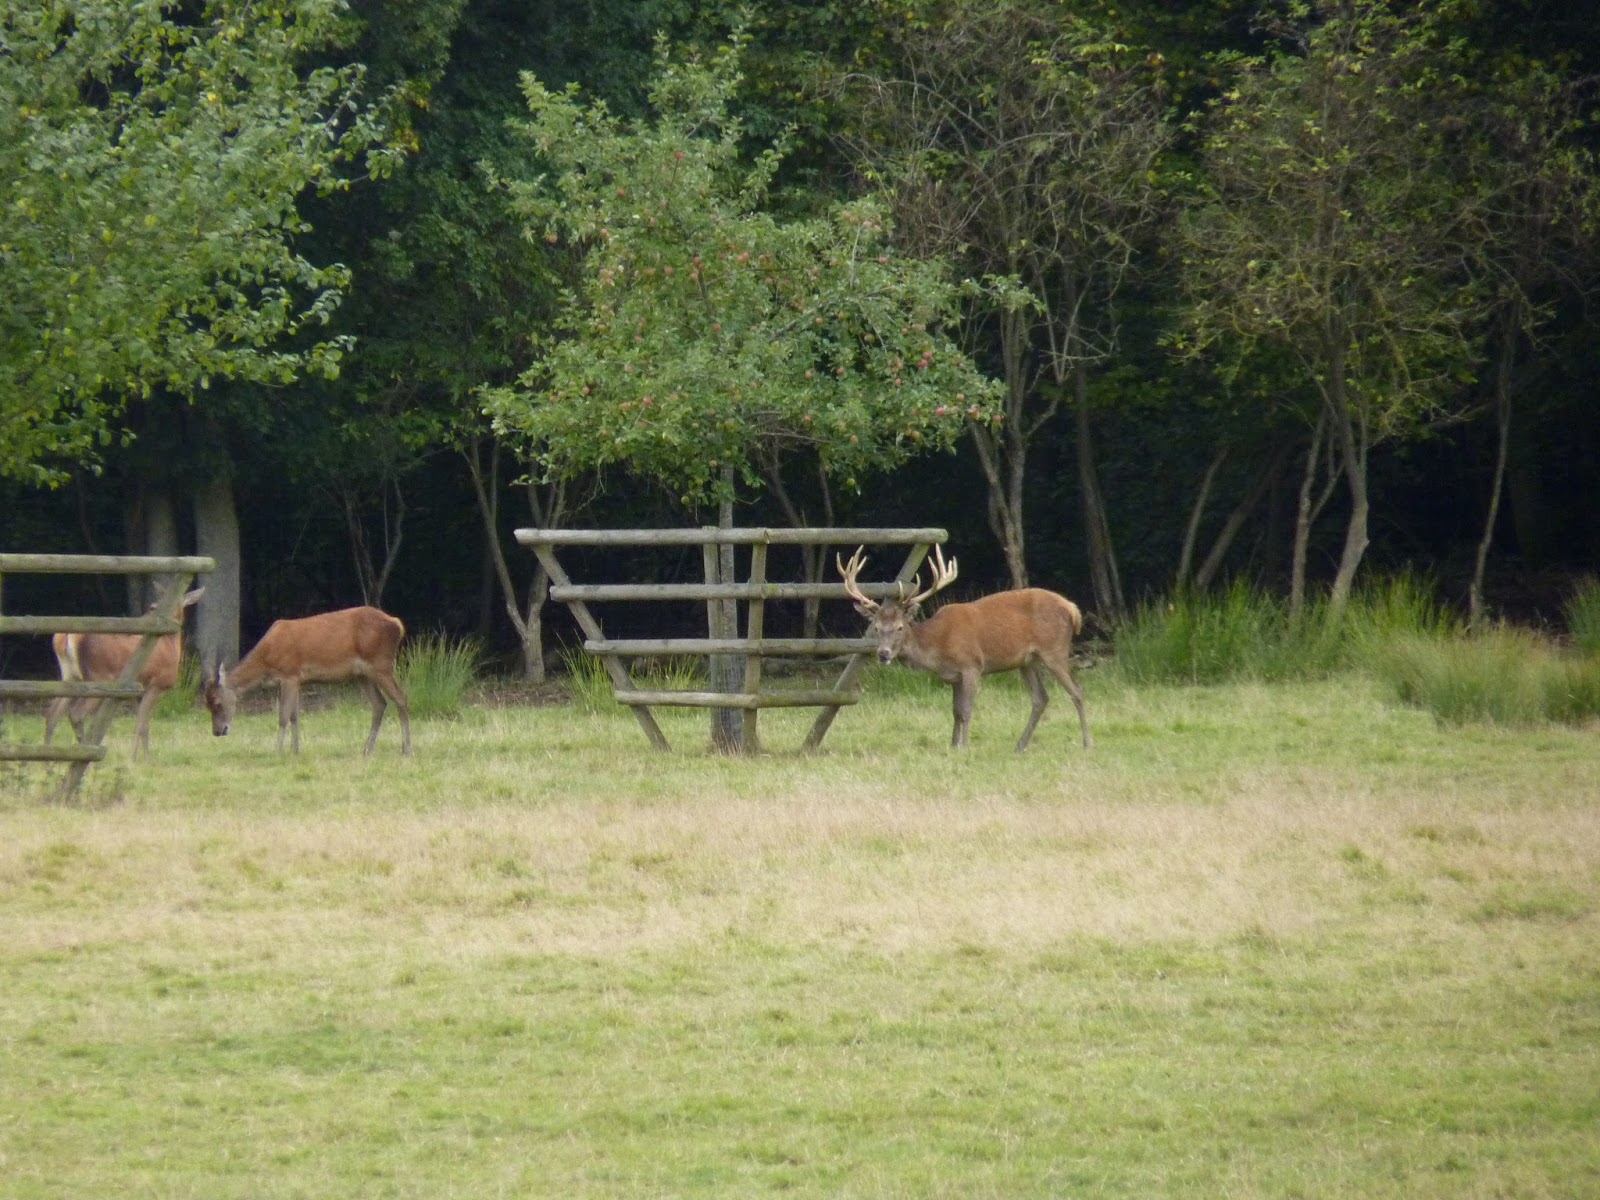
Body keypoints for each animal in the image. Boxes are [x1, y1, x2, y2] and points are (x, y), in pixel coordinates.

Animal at [44, 587, 206, 758]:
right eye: (156, 604)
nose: (152, 608)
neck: (170, 645)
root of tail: (66, 636)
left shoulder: (138, 692)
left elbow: (144, 724)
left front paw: (143, 755)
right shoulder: (157, 684)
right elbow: (141, 723)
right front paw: (137, 757)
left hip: (71, 676)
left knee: (52, 714)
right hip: (98, 678)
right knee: (75, 714)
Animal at [202, 606, 412, 756]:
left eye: (217, 703)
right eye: (207, 704)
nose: (217, 731)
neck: (266, 662)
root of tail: (398, 624)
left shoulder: (289, 674)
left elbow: (283, 716)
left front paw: (277, 751)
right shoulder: (296, 680)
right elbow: (295, 715)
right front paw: (295, 750)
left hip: (381, 664)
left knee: (401, 697)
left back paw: (407, 749)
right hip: (364, 674)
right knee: (379, 703)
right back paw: (367, 749)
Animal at [838, 546, 1091, 752]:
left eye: (900, 627)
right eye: (876, 627)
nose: (883, 654)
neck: (937, 647)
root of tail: (1073, 609)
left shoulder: (972, 666)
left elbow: (967, 710)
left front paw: (965, 746)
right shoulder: (954, 676)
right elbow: (956, 710)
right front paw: (953, 745)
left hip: (1055, 650)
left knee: (1077, 691)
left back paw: (1087, 743)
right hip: (1027, 661)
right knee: (1041, 698)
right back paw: (1020, 745)